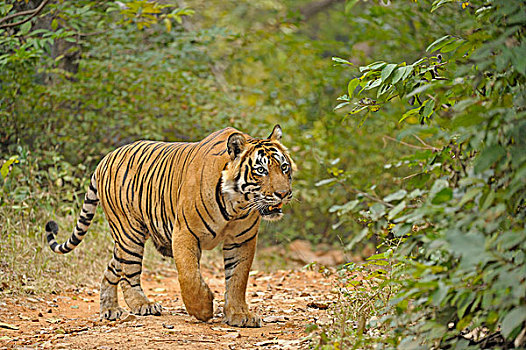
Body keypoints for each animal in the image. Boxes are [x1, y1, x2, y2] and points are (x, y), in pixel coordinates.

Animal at [46, 124, 296, 326]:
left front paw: (239, 315)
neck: (237, 205)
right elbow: (189, 275)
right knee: (129, 273)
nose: (284, 193)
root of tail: (105, 159)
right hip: (129, 233)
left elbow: (237, 278)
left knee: (112, 268)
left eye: (284, 167)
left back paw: (110, 310)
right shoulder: (185, 232)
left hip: (125, 238)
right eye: (261, 170)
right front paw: (203, 308)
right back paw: (143, 305)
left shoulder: (242, 240)